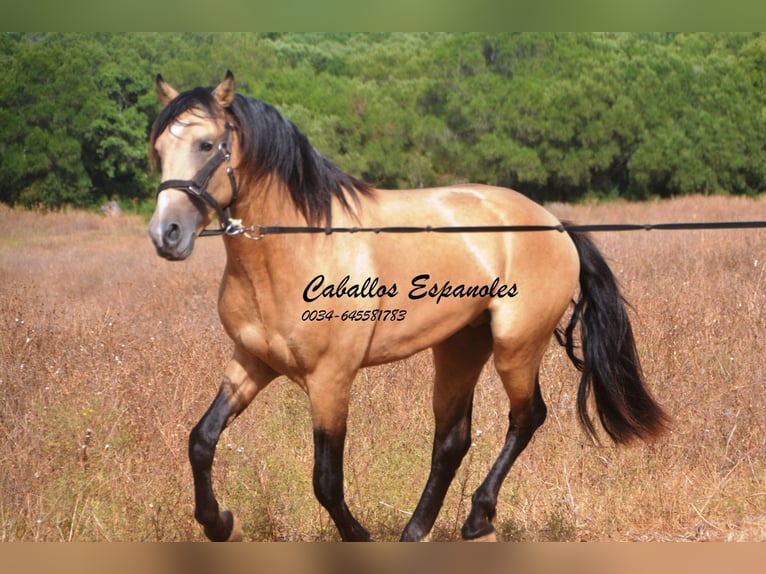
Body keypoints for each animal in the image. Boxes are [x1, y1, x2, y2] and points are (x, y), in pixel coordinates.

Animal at [147, 72, 668, 544]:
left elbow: (326, 480)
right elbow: (201, 440)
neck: (299, 247)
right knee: (453, 440)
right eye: (158, 149)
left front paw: (358, 537)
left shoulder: (331, 379)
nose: (166, 234)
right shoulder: (252, 362)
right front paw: (220, 524)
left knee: (526, 419)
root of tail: (554, 224)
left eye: (208, 144)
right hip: (461, 347)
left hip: (516, 346)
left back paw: (478, 519)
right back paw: (417, 531)